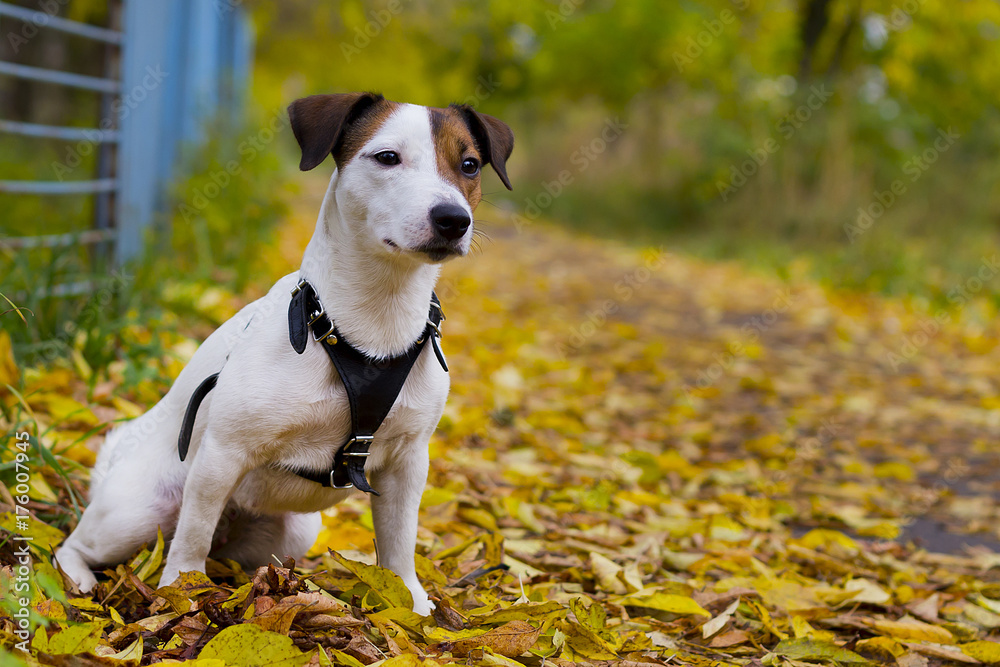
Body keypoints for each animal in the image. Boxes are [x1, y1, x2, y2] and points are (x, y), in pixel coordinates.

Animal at [52, 94, 516, 616]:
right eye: (387, 157)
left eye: (469, 165)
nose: (453, 219)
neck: (373, 325)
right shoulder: (222, 455)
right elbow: (191, 539)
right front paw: (182, 589)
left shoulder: (407, 463)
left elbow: (399, 542)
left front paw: (409, 604)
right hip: (138, 512)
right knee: (85, 544)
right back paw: (79, 580)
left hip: (291, 531)